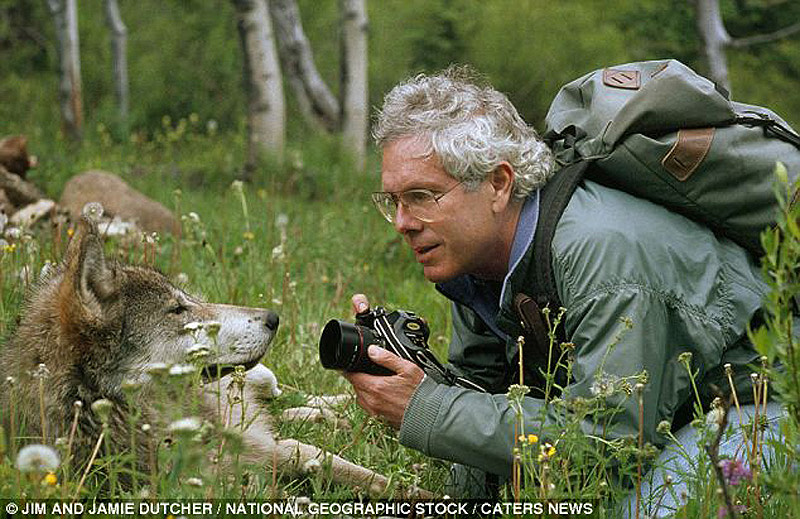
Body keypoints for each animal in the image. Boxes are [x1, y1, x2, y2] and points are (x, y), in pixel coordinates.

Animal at [0, 209, 410, 498]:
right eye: (178, 310)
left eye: (186, 300)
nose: (274, 318)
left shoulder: (275, 450)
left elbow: (355, 471)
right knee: (283, 412)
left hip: (262, 380)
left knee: (289, 399)